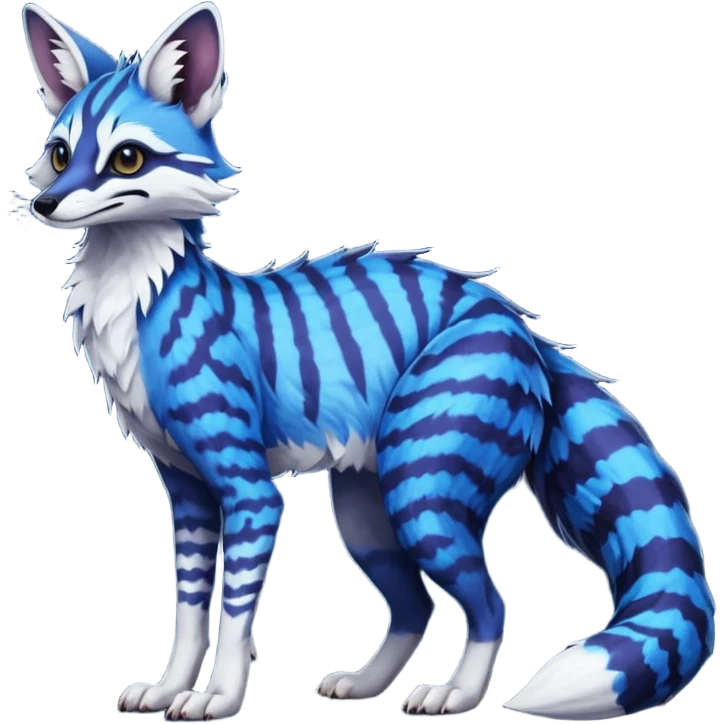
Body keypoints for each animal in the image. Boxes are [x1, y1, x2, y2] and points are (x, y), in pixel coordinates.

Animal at [14, 1, 716, 721]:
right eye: (60, 154)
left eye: (126, 158)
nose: (44, 203)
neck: (135, 299)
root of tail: (525, 329)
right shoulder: (186, 492)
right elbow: (187, 615)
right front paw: (169, 688)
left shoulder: (249, 490)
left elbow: (233, 619)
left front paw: (221, 697)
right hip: (364, 513)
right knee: (415, 606)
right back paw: (368, 684)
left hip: (421, 493)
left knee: (491, 604)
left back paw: (457, 694)